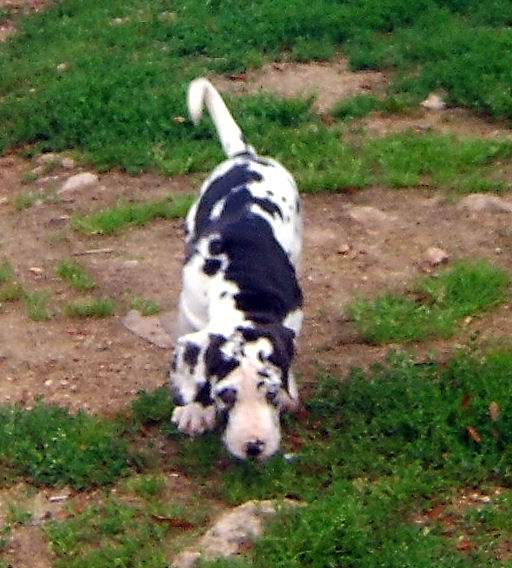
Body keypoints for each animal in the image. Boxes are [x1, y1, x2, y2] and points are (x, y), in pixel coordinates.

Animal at [170, 78, 303, 460]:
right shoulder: (189, 313)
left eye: (270, 392)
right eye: (226, 395)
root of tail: (245, 156)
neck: (242, 281)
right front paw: (195, 410)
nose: (254, 446)